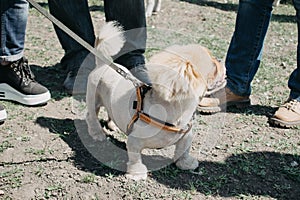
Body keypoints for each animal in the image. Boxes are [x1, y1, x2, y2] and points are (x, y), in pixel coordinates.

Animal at [85, 22, 225, 181]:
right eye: (213, 65)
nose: (221, 60)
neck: (178, 113)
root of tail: (102, 64)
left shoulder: (186, 136)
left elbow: (184, 149)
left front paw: (186, 163)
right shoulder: (134, 142)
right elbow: (135, 158)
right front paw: (137, 174)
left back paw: (113, 125)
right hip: (93, 101)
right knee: (90, 117)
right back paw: (97, 134)